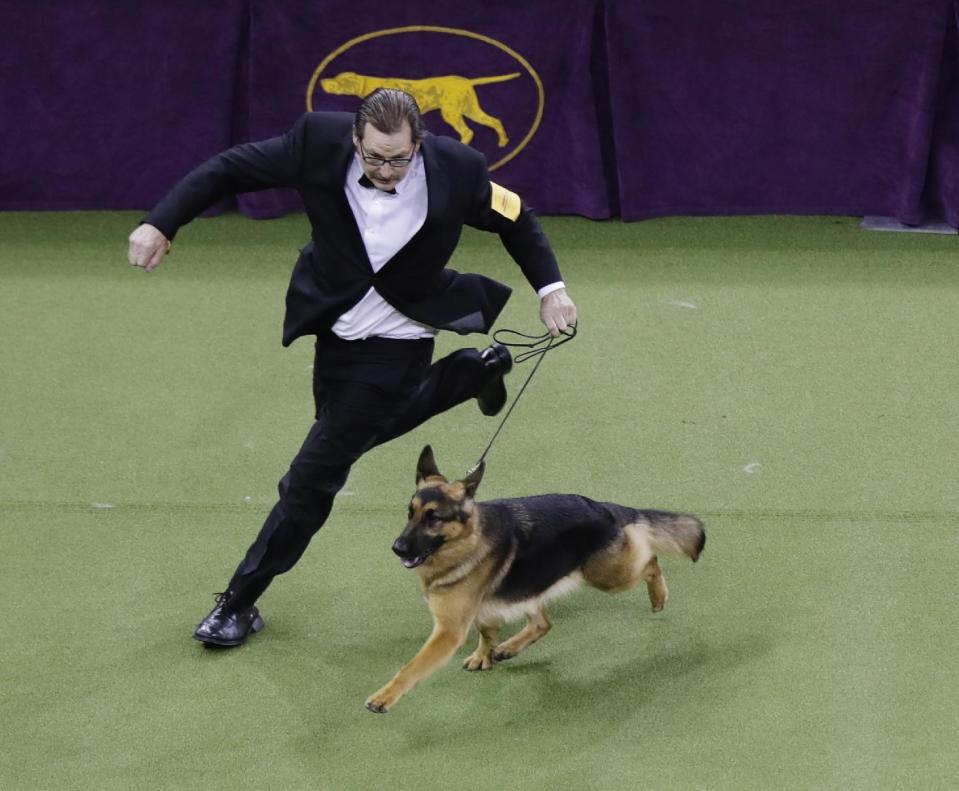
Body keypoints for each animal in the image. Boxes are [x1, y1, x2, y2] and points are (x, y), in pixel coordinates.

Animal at [362, 448, 704, 716]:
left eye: (433, 518)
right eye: (410, 513)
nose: (397, 548)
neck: (464, 541)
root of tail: (602, 506)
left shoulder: (448, 631)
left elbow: (412, 668)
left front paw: (384, 696)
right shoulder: (483, 607)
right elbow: (487, 631)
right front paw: (485, 654)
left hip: (608, 575)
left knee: (650, 561)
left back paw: (658, 596)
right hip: (532, 584)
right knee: (543, 623)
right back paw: (509, 648)